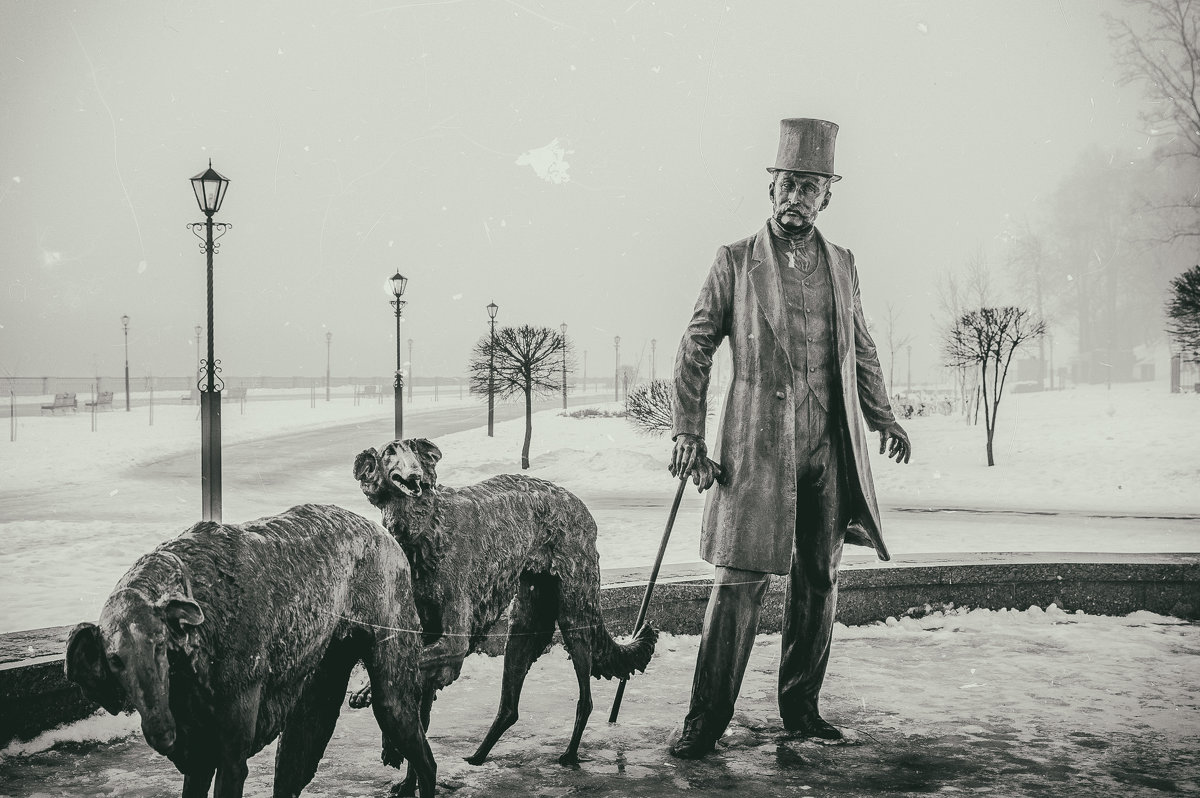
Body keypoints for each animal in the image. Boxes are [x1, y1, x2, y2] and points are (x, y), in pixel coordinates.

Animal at [64, 504, 436, 796]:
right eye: (115, 660)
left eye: (159, 647)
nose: (163, 732)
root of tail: (388, 538)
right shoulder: (199, 757)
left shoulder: (231, 756)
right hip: (315, 696)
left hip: (391, 693)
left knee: (427, 760)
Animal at [355, 436, 657, 792]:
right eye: (390, 453)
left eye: (416, 451)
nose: (415, 477)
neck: (425, 528)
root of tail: (578, 503)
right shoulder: (425, 636)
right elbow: (420, 715)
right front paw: (404, 778)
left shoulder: (452, 643)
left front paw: (368, 698)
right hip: (524, 624)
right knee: (510, 707)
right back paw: (477, 758)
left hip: (575, 615)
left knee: (585, 698)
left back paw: (569, 755)